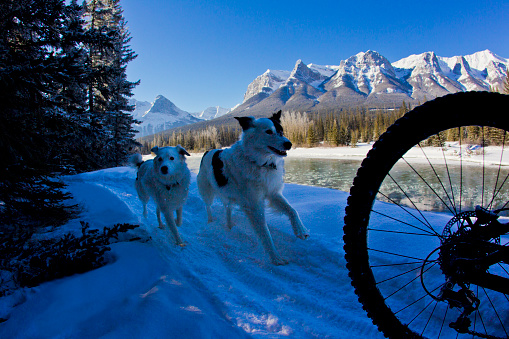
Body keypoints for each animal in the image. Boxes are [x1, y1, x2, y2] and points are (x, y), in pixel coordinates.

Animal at [197, 111, 310, 266]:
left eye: (281, 131)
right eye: (268, 132)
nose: (289, 143)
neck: (258, 162)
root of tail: (207, 151)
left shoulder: (272, 193)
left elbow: (292, 210)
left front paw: (300, 230)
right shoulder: (254, 206)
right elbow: (265, 233)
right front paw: (275, 257)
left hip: (229, 196)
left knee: (228, 208)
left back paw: (230, 226)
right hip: (207, 192)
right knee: (208, 207)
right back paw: (210, 222)